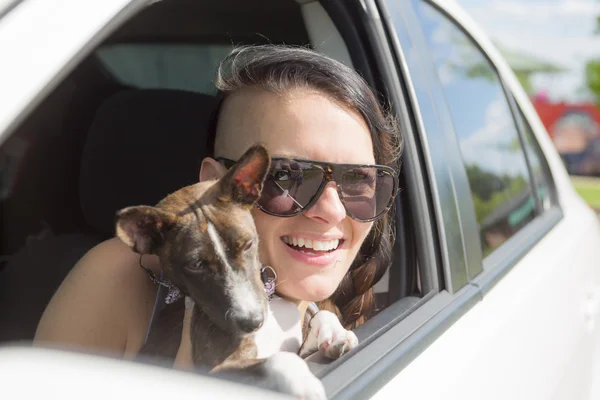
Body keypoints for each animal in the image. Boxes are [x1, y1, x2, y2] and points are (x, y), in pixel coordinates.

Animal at [115, 144, 358, 400]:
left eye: (248, 244)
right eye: (195, 265)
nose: (253, 322)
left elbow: (322, 315)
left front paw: (335, 335)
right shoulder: (212, 370)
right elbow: (281, 360)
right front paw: (304, 384)